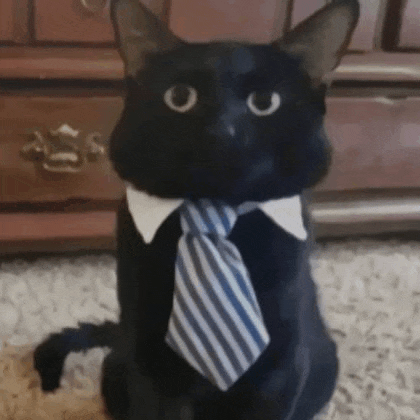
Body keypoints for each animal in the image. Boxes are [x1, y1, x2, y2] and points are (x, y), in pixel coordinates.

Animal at [34, 1, 360, 418]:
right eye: (179, 97)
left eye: (264, 102)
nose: (221, 131)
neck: (214, 212)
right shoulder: (148, 356)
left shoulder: (282, 363)